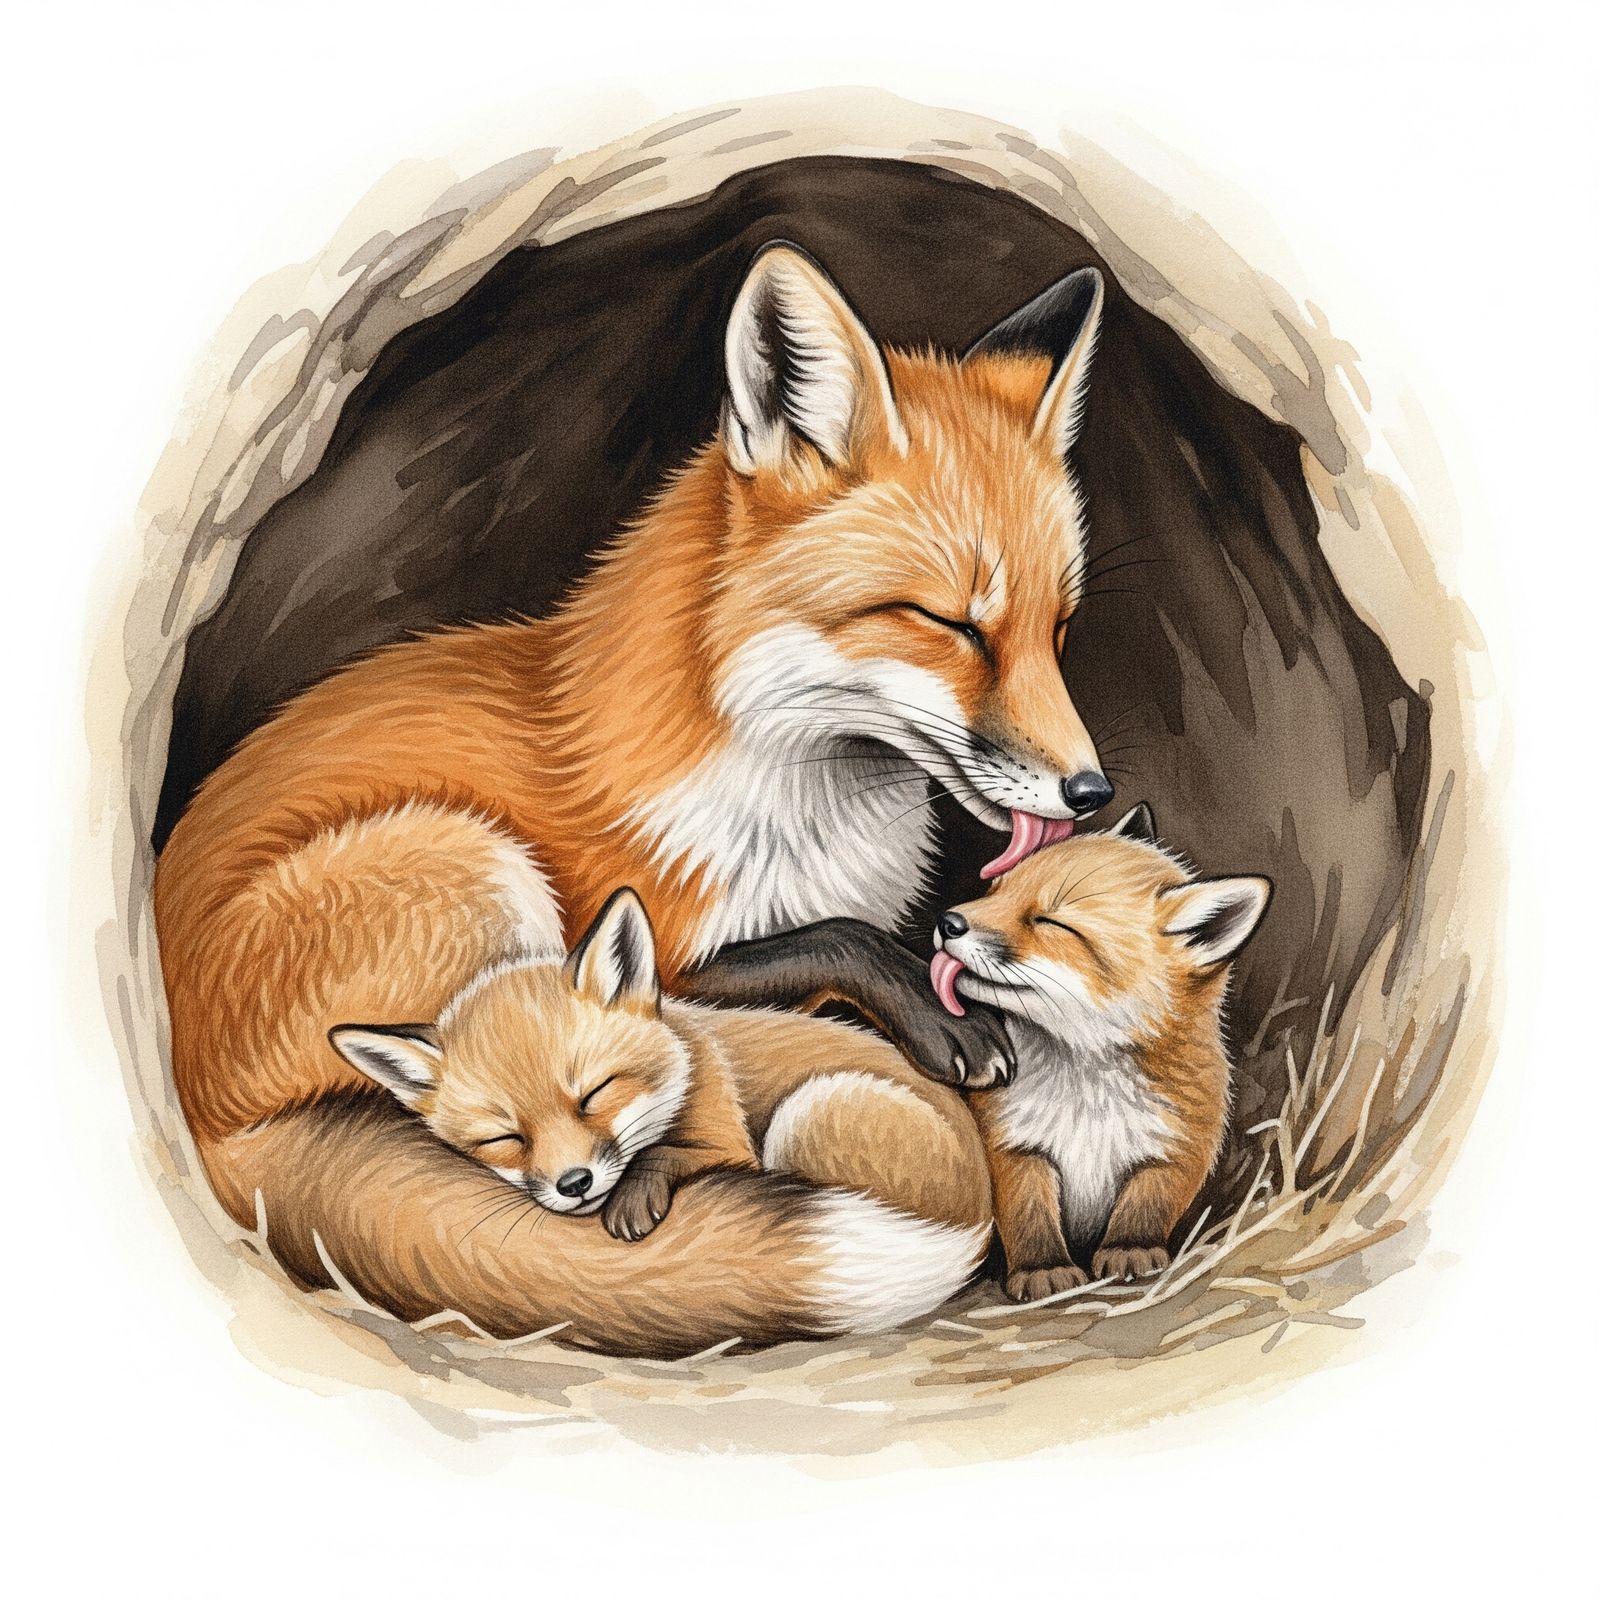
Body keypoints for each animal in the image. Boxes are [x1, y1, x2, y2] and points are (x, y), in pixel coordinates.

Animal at [326, 888, 990, 1354]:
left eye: (594, 1094)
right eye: (505, 1137)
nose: (574, 1184)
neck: (686, 1056)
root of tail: (979, 1222)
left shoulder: (731, 1138)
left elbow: (671, 1152)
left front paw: (637, 1193)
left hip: (813, 1110)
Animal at [927, 805, 1271, 1300]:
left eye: (1051, 922)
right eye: (995, 890)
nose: (947, 921)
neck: (1087, 1088)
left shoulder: (1177, 1148)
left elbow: (1147, 1204)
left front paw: (1130, 1249)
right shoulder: (1014, 1146)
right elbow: (1029, 1215)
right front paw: (1043, 1269)